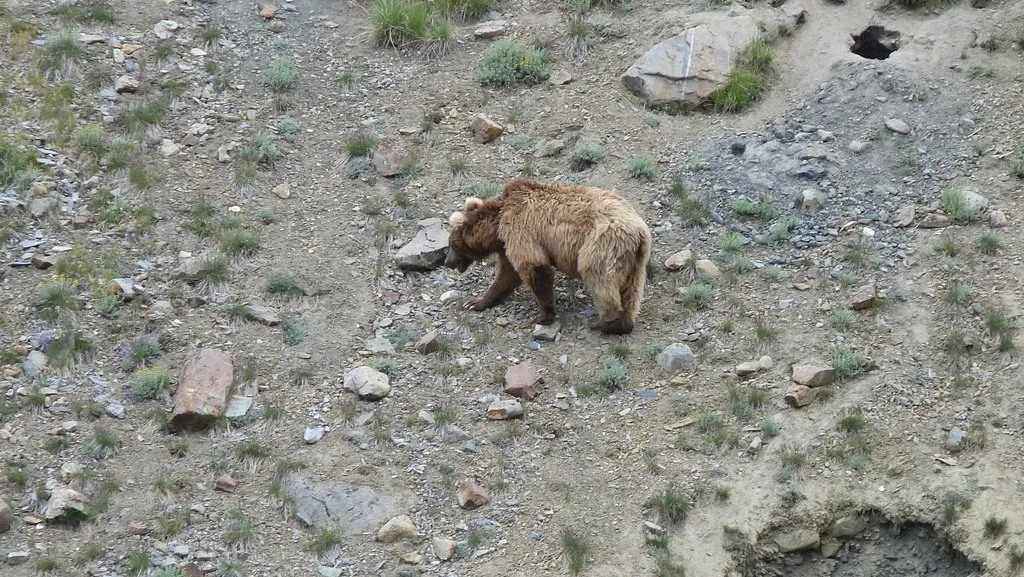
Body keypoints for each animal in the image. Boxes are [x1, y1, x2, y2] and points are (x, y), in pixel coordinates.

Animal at [444, 177, 653, 335]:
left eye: (450, 244)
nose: (447, 262)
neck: (497, 224)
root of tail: (638, 230)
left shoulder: (520, 229)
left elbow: (533, 267)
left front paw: (543, 316)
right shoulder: (506, 244)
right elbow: (506, 276)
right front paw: (475, 302)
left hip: (600, 242)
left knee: (597, 276)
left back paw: (604, 322)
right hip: (635, 258)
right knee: (631, 288)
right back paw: (623, 324)